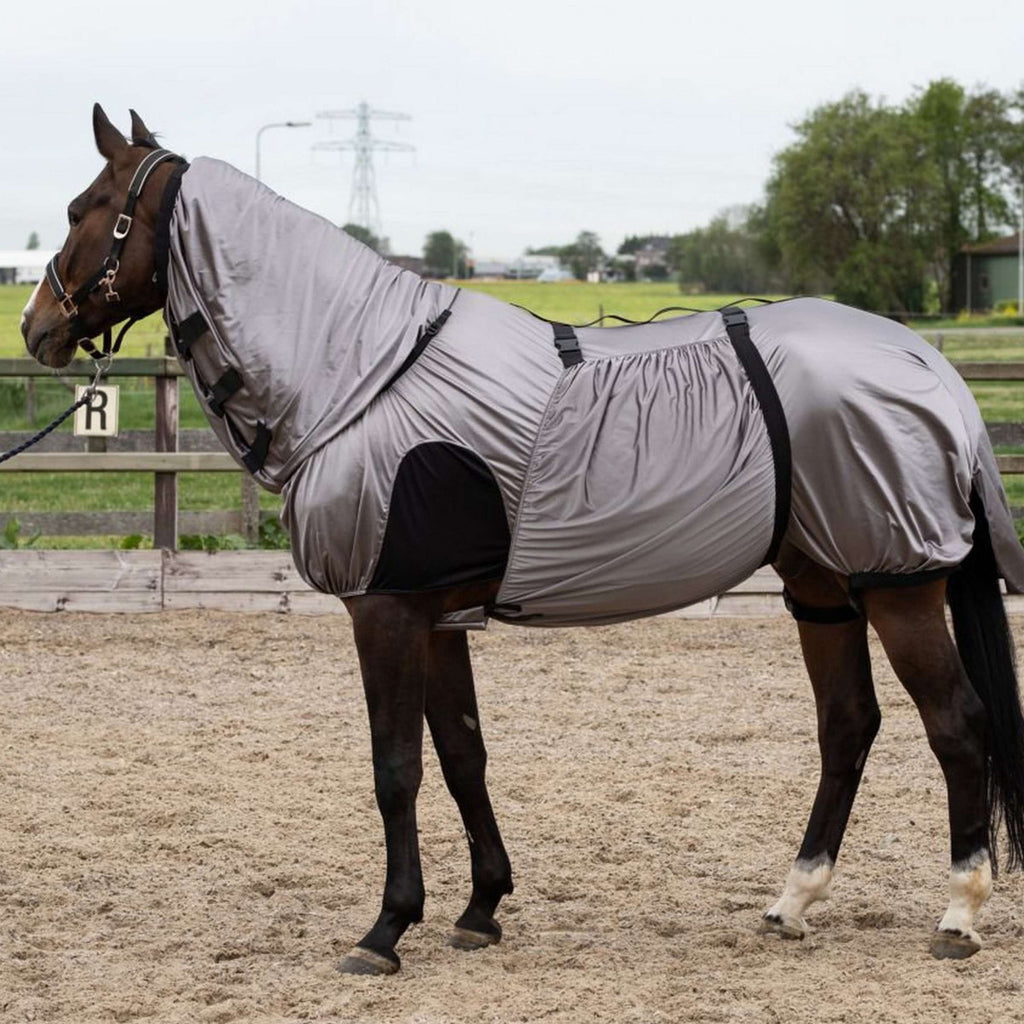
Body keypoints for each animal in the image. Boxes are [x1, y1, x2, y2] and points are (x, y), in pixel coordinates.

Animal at [19, 105, 1024, 975]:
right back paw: (794, 900)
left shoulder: (384, 608)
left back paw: (958, 912)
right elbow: (462, 754)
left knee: (957, 724)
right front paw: (478, 909)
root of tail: (923, 361)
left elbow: (396, 767)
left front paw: (386, 929)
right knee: (848, 723)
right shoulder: (436, 615)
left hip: (898, 582)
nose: (37, 327)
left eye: (82, 209)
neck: (363, 373)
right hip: (822, 585)